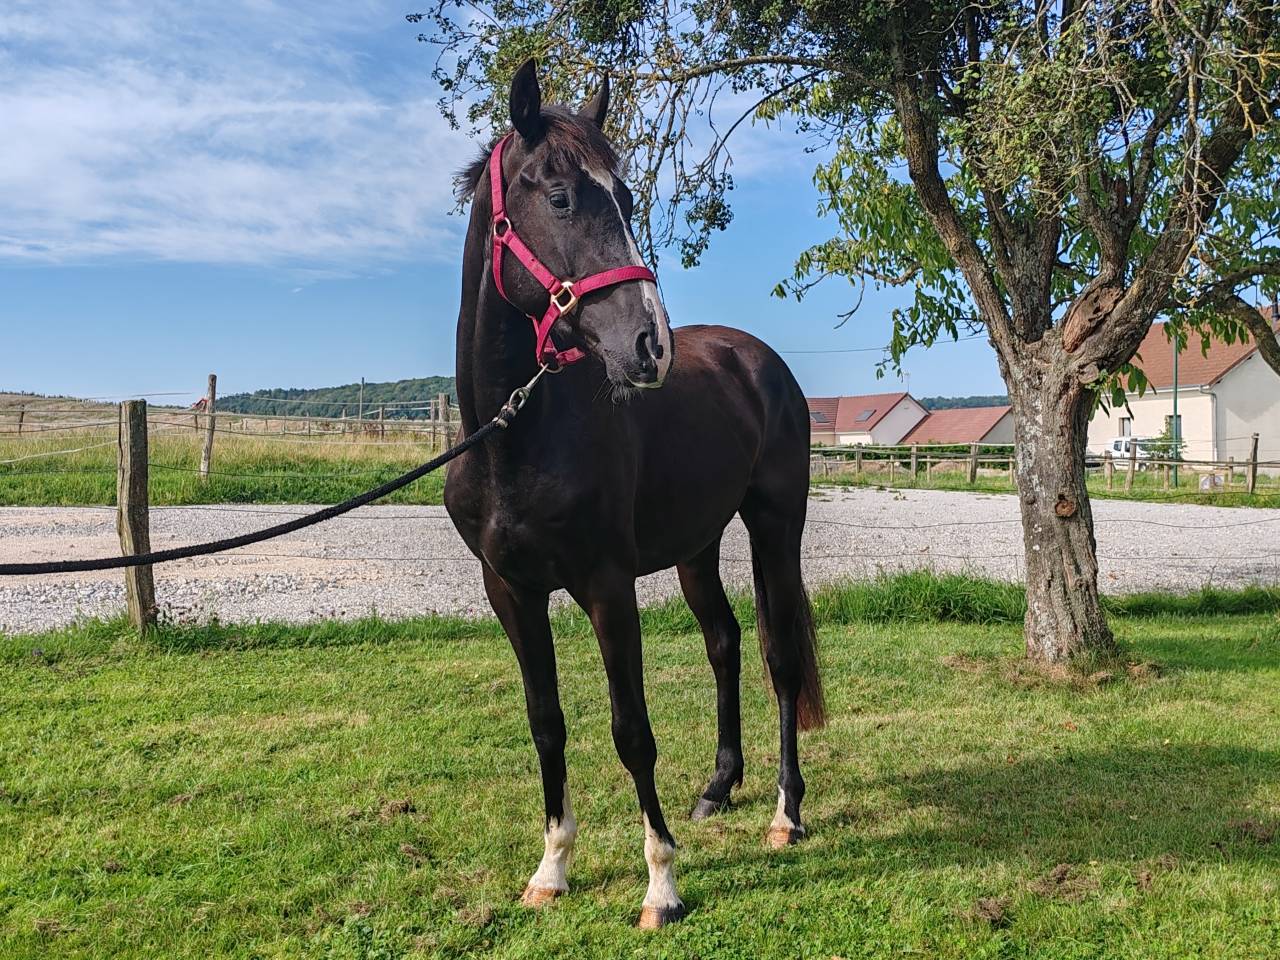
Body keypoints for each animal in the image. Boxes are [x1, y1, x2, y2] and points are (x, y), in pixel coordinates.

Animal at [443, 59, 825, 929]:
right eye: (558, 197)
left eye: (625, 196)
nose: (652, 343)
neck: (516, 438)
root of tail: (759, 360)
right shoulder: (509, 590)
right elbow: (547, 724)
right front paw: (551, 869)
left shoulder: (607, 588)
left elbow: (632, 731)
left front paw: (661, 884)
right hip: (697, 547)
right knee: (725, 642)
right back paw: (718, 788)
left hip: (774, 526)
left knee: (780, 655)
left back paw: (785, 814)